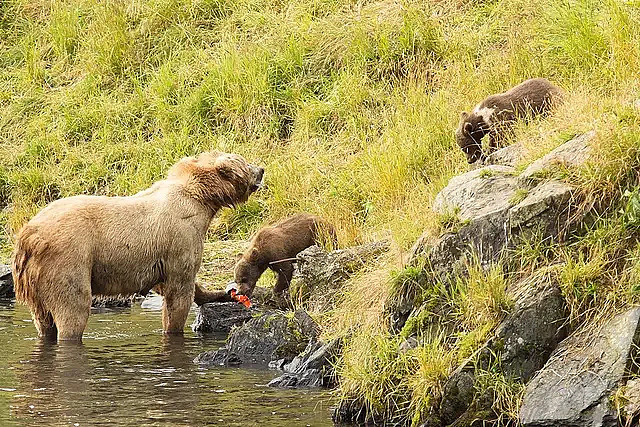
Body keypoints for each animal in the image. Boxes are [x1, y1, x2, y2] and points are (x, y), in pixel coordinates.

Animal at [12, 151, 264, 341]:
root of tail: (28, 236)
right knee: (73, 308)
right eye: (244, 162)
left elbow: (174, 286)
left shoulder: (159, 260)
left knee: (43, 320)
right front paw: (174, 328)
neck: (202, 198)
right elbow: (179, 291)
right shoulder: (180, 236)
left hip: (36, 282)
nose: (261, 169)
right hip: (68, 259)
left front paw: (222, 293)